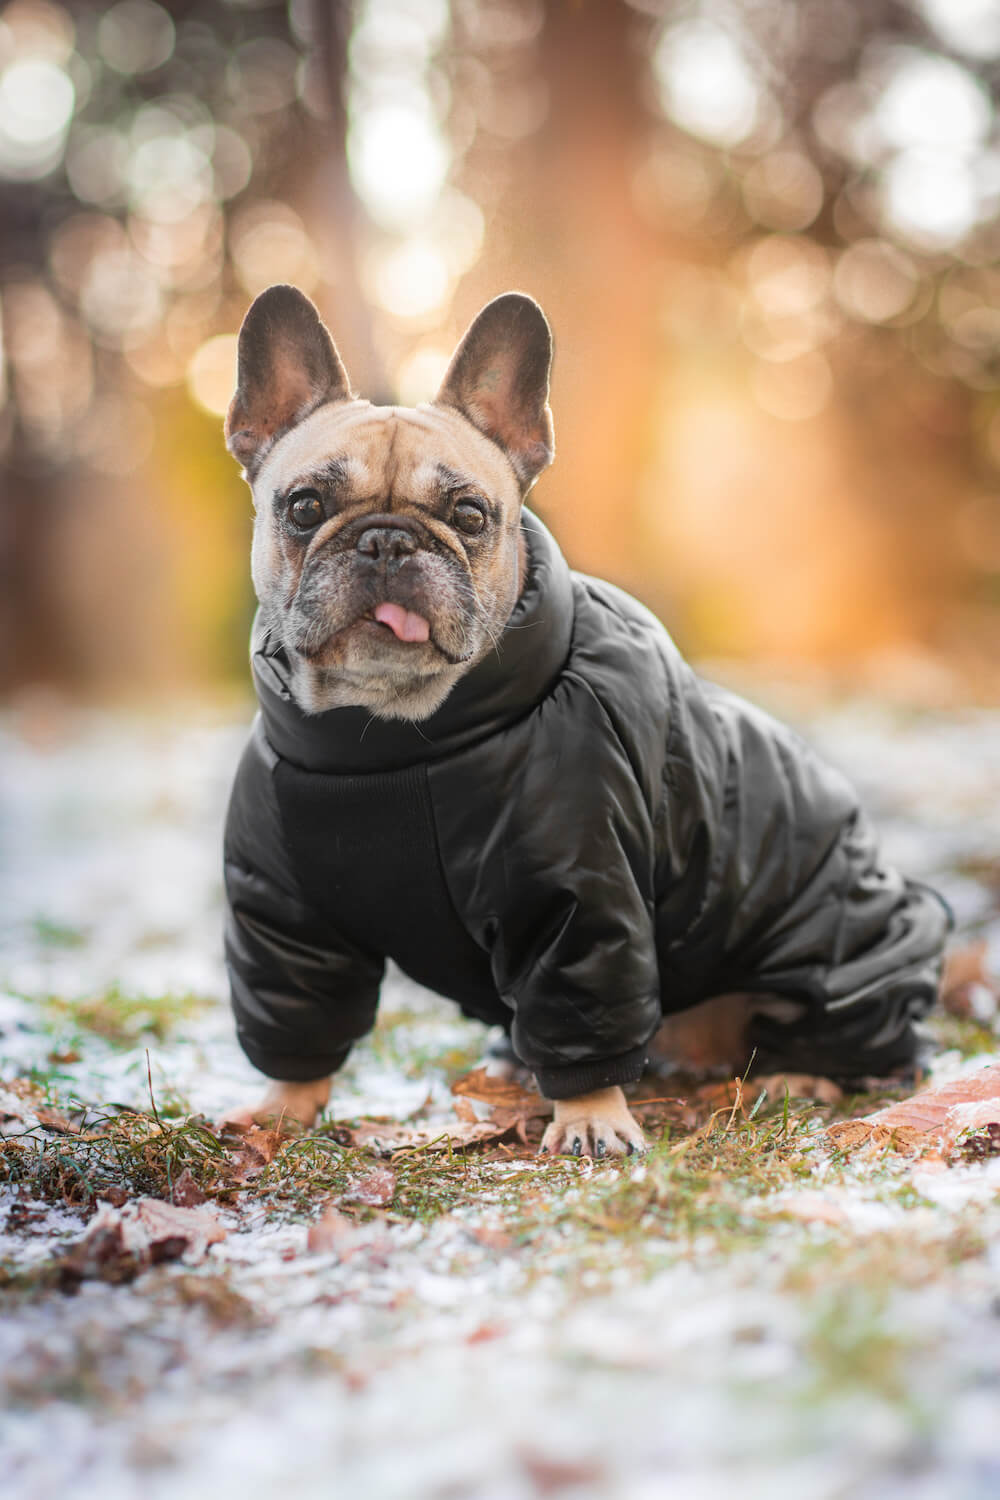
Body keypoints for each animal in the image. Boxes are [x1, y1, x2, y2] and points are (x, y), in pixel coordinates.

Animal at [220, 283, 953, 1158]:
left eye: (470, 514)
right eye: (305, 506)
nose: (387, 541)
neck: (394, 741)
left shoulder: (580, 900)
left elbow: (584, 1009)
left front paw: (593, 1119)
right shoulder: (285, 920)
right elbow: (299, 1015)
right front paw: (280, 1109)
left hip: (828, 944)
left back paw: (797, 1076)